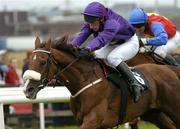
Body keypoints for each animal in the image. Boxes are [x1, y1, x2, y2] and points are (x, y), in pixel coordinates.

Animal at [22, 36, 180, 129]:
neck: (85, 81)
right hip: (153, 113)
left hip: (173, 110)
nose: (27, 90)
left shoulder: (93, 120)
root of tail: (170, 69)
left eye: (43, 62)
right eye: (30, 62)